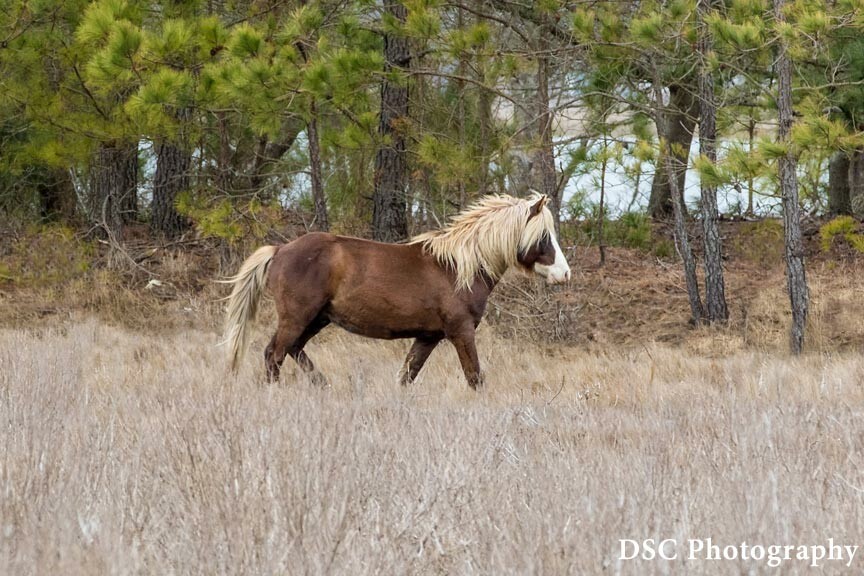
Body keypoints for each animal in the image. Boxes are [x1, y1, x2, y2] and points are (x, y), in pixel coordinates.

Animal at [226, 192, 572, 388]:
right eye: (544, 237)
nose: (564, 274)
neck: (458, 268)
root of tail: (280, 250)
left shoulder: (428, 337)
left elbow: (406, 376)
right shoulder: (460, 331)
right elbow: (475, 377)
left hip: (317, 318)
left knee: (292, 350)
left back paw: (322, 386)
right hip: (297, 316)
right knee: (274, 355)